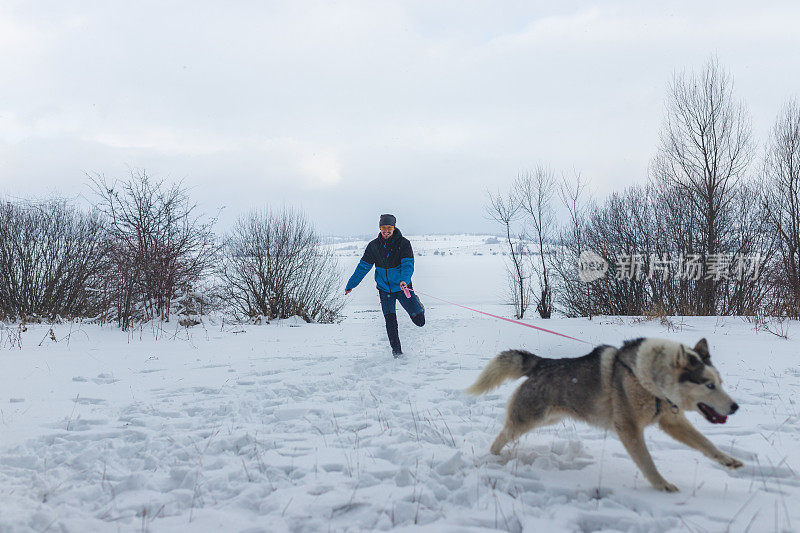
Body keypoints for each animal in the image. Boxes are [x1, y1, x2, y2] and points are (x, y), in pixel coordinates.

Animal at [468, 336, 744, 490]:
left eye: (720, 382)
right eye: (709, 385)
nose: (735, 407)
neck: (649, 381)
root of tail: (544, 363)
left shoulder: (672, 422)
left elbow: (706, 444)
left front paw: (728, 460)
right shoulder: (629, 428)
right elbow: (647, 462)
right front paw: (661, 485)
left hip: (548, 417)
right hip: (528, 419)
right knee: (501, 436)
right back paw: (492, 457)